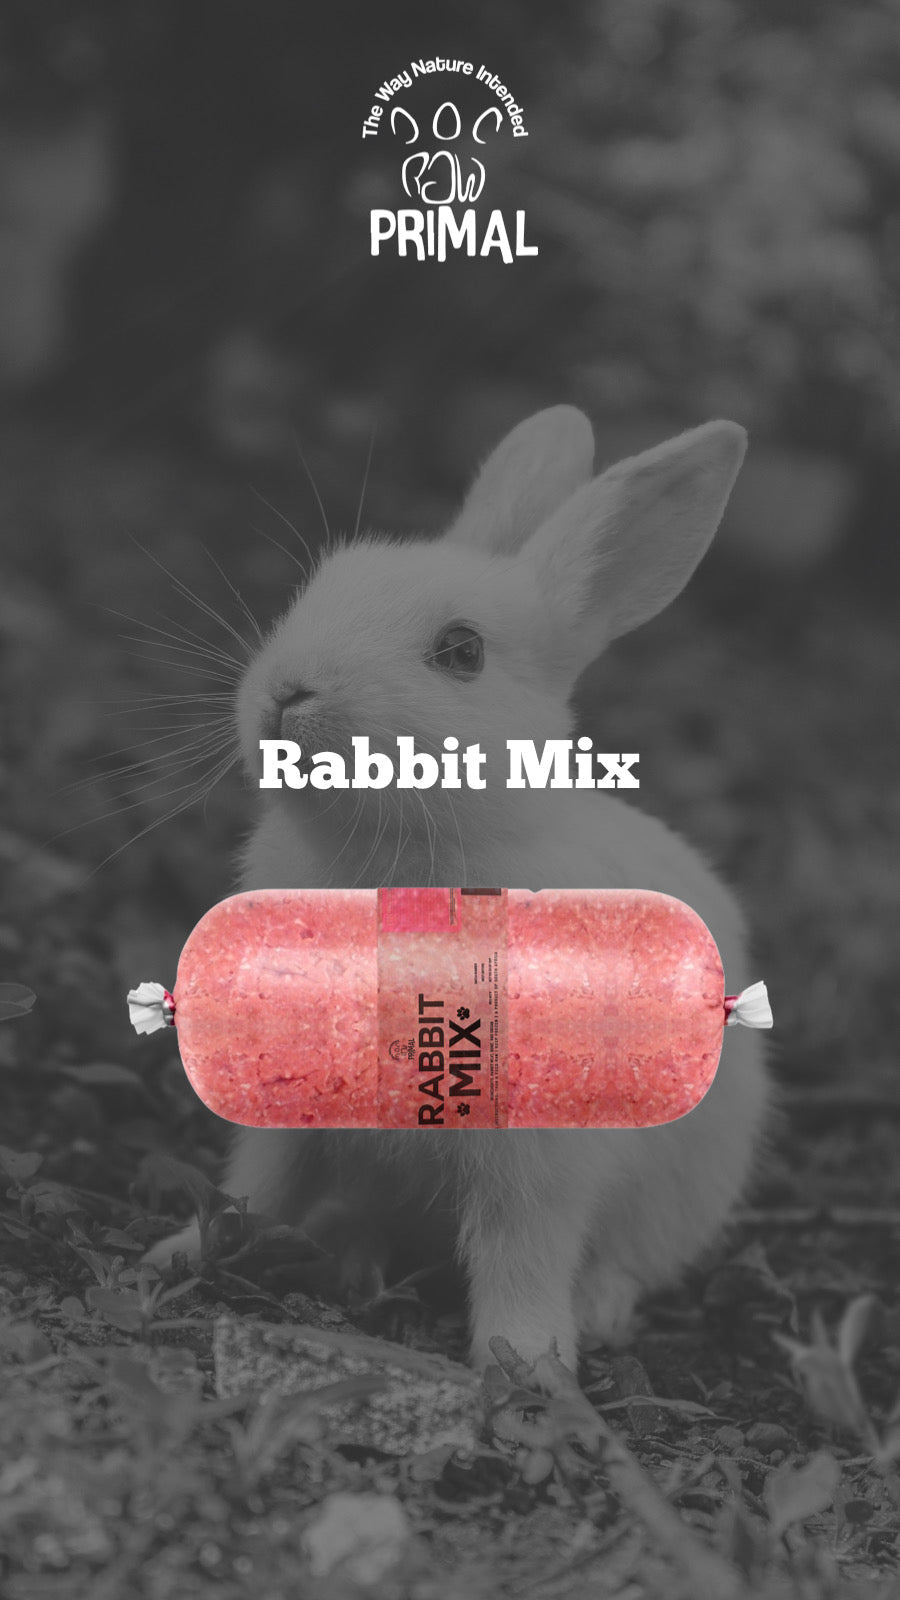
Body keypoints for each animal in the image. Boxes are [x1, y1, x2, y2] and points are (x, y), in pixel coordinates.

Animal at [147, 406, 770, 1373]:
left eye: (462, 652)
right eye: (321, 587)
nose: (288, 691)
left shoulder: (537, 1153)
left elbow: (522, 1246)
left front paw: (527, 1362)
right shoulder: (281, 1099)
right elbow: (260, 1182)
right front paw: (183, 1252)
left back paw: (596, 1311)